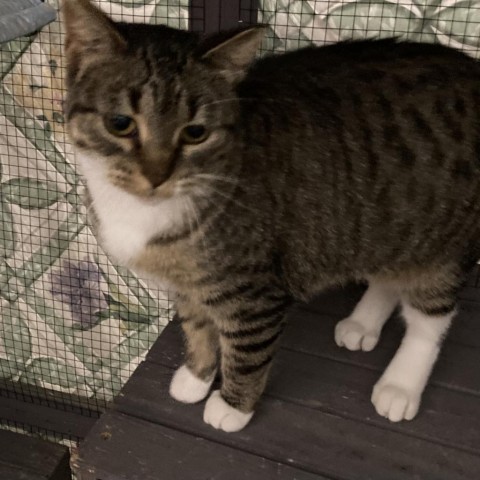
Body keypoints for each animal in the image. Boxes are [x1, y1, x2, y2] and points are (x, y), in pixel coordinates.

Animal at [62, 0, 480, 434]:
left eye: (195, 133)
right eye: (120, 124)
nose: (157, 177)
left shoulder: (254, 293)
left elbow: (246, 350)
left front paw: (232, 406)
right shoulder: (187, 285)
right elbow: (196, 327)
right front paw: (197, 377)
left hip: (445, 243)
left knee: (430, 319)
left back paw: (400, 385)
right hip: (385, 225)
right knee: (387, 274)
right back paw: (363, 323)